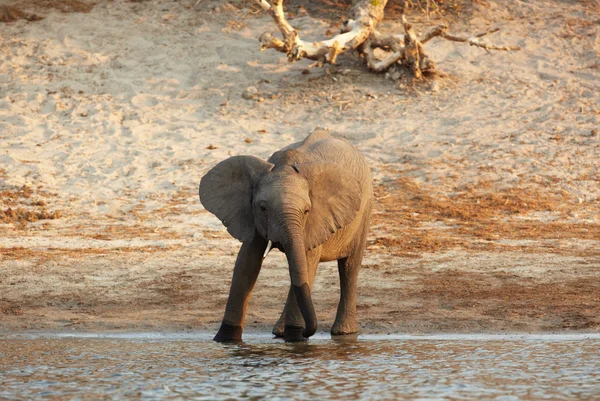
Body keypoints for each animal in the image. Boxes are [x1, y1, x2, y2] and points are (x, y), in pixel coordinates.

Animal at [199, 129, 372, 340]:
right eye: (263, 208)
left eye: (306, 211)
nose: (307, 333)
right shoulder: (251, 216)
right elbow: (247, 262)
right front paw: (225, 339)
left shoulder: (315, 220)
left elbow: (307, 262)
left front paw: (295, 337)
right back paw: (280, 332)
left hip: (365, 211)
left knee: (349, 267)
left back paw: (342, 332)